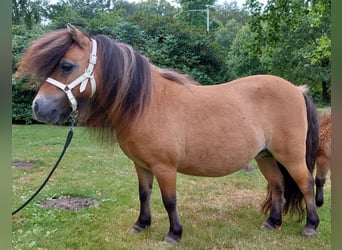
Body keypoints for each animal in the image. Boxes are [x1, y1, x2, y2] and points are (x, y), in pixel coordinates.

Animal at [15, 24, 320, 243]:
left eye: (66, 65)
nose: (38, 107)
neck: (147, 104)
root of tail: (296, 89)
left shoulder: (165, 167)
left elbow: (169, 200)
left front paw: (174, 234)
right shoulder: (141, 165)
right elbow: (144, 194)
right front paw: (141, 225)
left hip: (291, 156)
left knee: (306, 184)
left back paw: (311, 227)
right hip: (265, 156)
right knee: (278, 185)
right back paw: (272, 223)